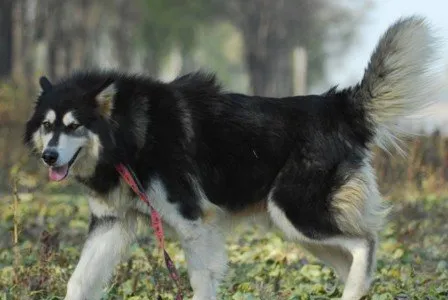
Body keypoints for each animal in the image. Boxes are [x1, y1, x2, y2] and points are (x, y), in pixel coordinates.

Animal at [24, 17, 440, 300]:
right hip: (299, 228)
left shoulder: (194, 223)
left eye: (74, 125)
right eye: (48, 125)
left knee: (365, 244)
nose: (48, 156)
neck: (132, 134)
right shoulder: (113, 222)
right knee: (352, 258)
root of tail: (334, 106)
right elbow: (79, 281)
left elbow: (201, 282)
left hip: (296, 212)